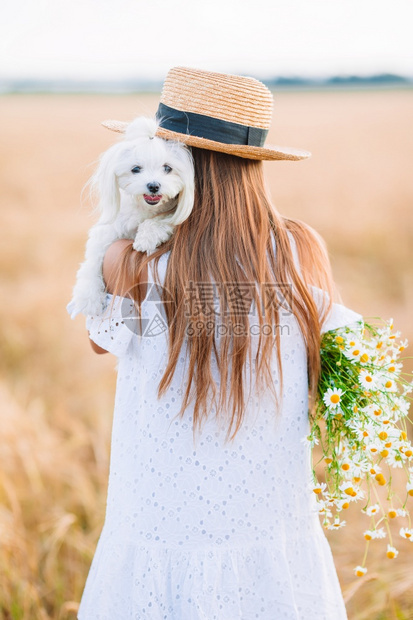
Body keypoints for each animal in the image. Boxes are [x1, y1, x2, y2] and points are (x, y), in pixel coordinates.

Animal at [67, 117, 195, 320]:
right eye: (136, 169)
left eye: (167, 168)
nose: (153, 185)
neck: (145, 208)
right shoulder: (108, 232)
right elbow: (92, 260)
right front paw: (88, 296)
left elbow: (162, 220)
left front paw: (146, 236)